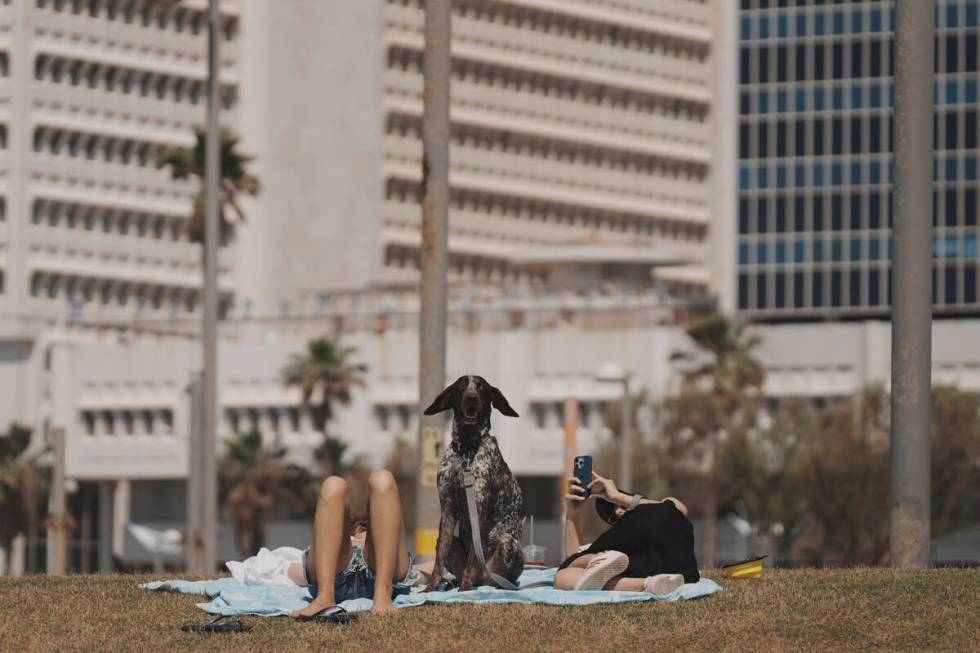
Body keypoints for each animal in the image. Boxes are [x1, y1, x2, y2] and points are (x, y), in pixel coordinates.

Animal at [424, 372, 524, 592]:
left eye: (482, 387)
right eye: (461, 385)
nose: (471, 398)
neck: (467, 449)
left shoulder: (478, 507)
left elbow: (472, 558)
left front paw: (465, 589)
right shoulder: (447, 510)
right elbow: (439, 559)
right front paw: (431, 588)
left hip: (507, 542)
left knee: (502, 578)